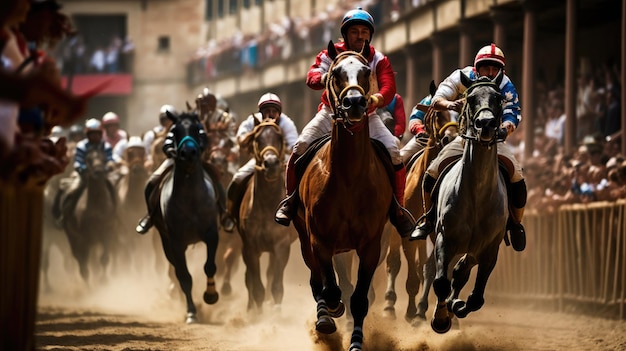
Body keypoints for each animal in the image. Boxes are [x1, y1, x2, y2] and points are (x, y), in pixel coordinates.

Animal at [239, 119, 298, 314]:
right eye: (257, 139)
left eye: (279, 137)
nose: (271, 164)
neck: (266, 205)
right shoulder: (250, 248)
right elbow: (256, 286)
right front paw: (257, 314)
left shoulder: (281, 246)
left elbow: (276, 285)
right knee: (249, 278)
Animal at [292, 42, 390, 351]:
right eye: (335, 73)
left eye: (366, 71)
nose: (355, 103)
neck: (349, 178)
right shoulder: (320, 239)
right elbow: (330, 288)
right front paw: (330, 312)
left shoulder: (371, 244)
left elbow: (359, 298)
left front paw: (356, 341)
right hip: (304, 235)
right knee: (317, 280)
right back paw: (325, 315)